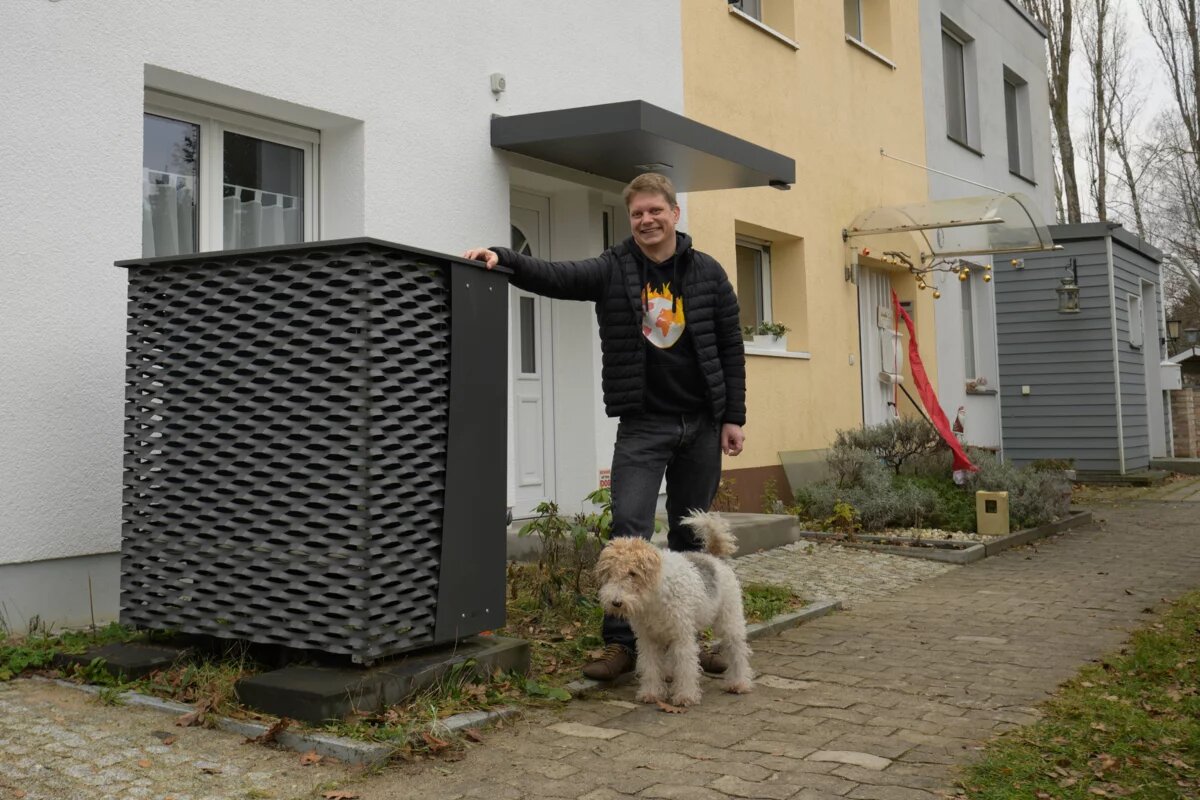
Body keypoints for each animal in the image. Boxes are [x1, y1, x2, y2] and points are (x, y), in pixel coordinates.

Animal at [592, 510, 748, 705]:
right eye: (609, 572)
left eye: (633, 573)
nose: (616, 602)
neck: (654, 596)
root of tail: (713, 558)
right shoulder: (647, 638)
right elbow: (650, 667)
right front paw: (651, 693)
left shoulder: (681, 636)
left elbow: (685, 667)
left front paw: (685, 695)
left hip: (729, 620)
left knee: (738, 651)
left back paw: (738, 682)